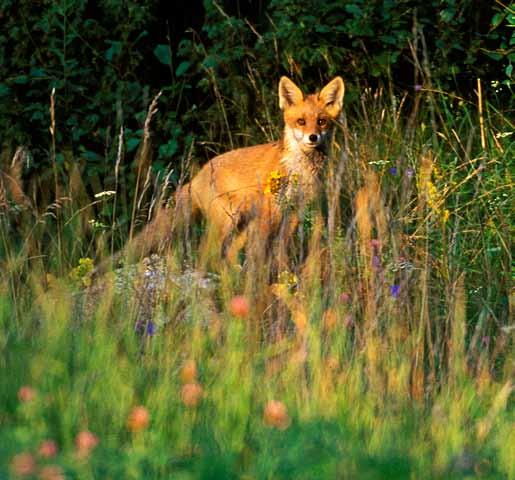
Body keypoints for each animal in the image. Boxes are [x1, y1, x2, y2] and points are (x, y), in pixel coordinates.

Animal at [118, 77, 342, 268]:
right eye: (301, 121)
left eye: (321, 121)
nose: (313, 137)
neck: (298, 169)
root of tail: (198, 174)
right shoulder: (270, 210)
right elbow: (264, 251)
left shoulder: (294, 210)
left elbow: (282, 250)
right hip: (228, 221)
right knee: (206, 252)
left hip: (240, 225)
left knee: (229, 253)